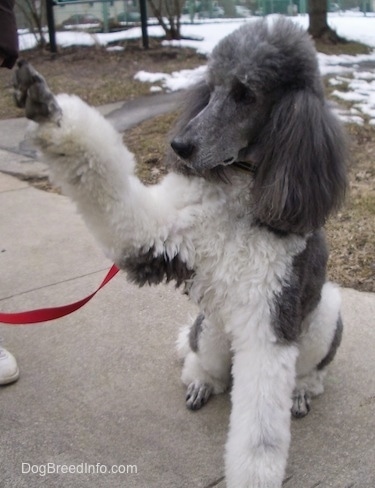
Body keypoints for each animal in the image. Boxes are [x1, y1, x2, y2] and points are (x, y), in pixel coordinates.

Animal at [15, 16, 350, 488]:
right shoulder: (156, 236)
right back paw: (200, 382)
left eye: (246, 93)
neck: (243, 195)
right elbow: (115, 199)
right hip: (209, 328)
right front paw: (47, 110)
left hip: (323, 317)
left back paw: (301, 392)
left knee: (312, 373)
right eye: (210, 87)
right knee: (203, 361)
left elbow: (260, 436)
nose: (180, 146)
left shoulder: (269, 324)